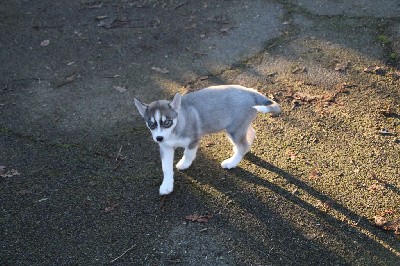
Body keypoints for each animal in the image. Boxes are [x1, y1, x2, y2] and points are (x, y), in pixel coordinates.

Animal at [134, 85, 282, 195]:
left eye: (167, 122)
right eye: (151, 124)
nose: (159, 138)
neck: (175, 129)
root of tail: (251, 91)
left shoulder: (193, 140)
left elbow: (188, 154)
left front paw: (184, 164)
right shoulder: (165, 147)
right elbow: (166, 167)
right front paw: (167, 185)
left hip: (234, 129)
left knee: (243, 145)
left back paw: (232, 162)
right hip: (239, 127)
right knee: (250, 134)